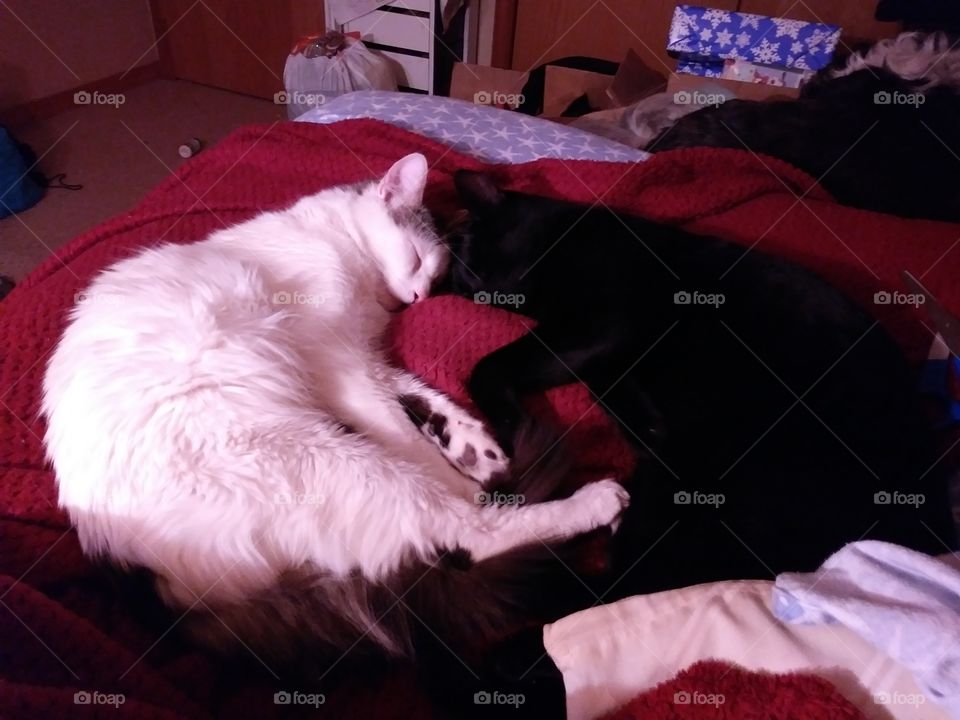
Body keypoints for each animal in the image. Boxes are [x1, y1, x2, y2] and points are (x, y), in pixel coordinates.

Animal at [41, 155, 632, 660]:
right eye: (418, 259)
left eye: (437, 277)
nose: (419, 298)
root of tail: (153, 586)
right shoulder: (338, 363)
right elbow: (404, 431)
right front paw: (457, 471)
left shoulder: (362, 360)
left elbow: (417, 394)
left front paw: (472, 444)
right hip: (329, 459)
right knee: (471, 531)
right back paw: (583, 501)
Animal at [448, 170, 952, 596]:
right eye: (466, 285)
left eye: (477, 264)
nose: (481, 288)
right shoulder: (602, 355)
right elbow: (612, 393)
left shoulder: (602, 323)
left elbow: (490, 367)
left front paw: (509, 430)